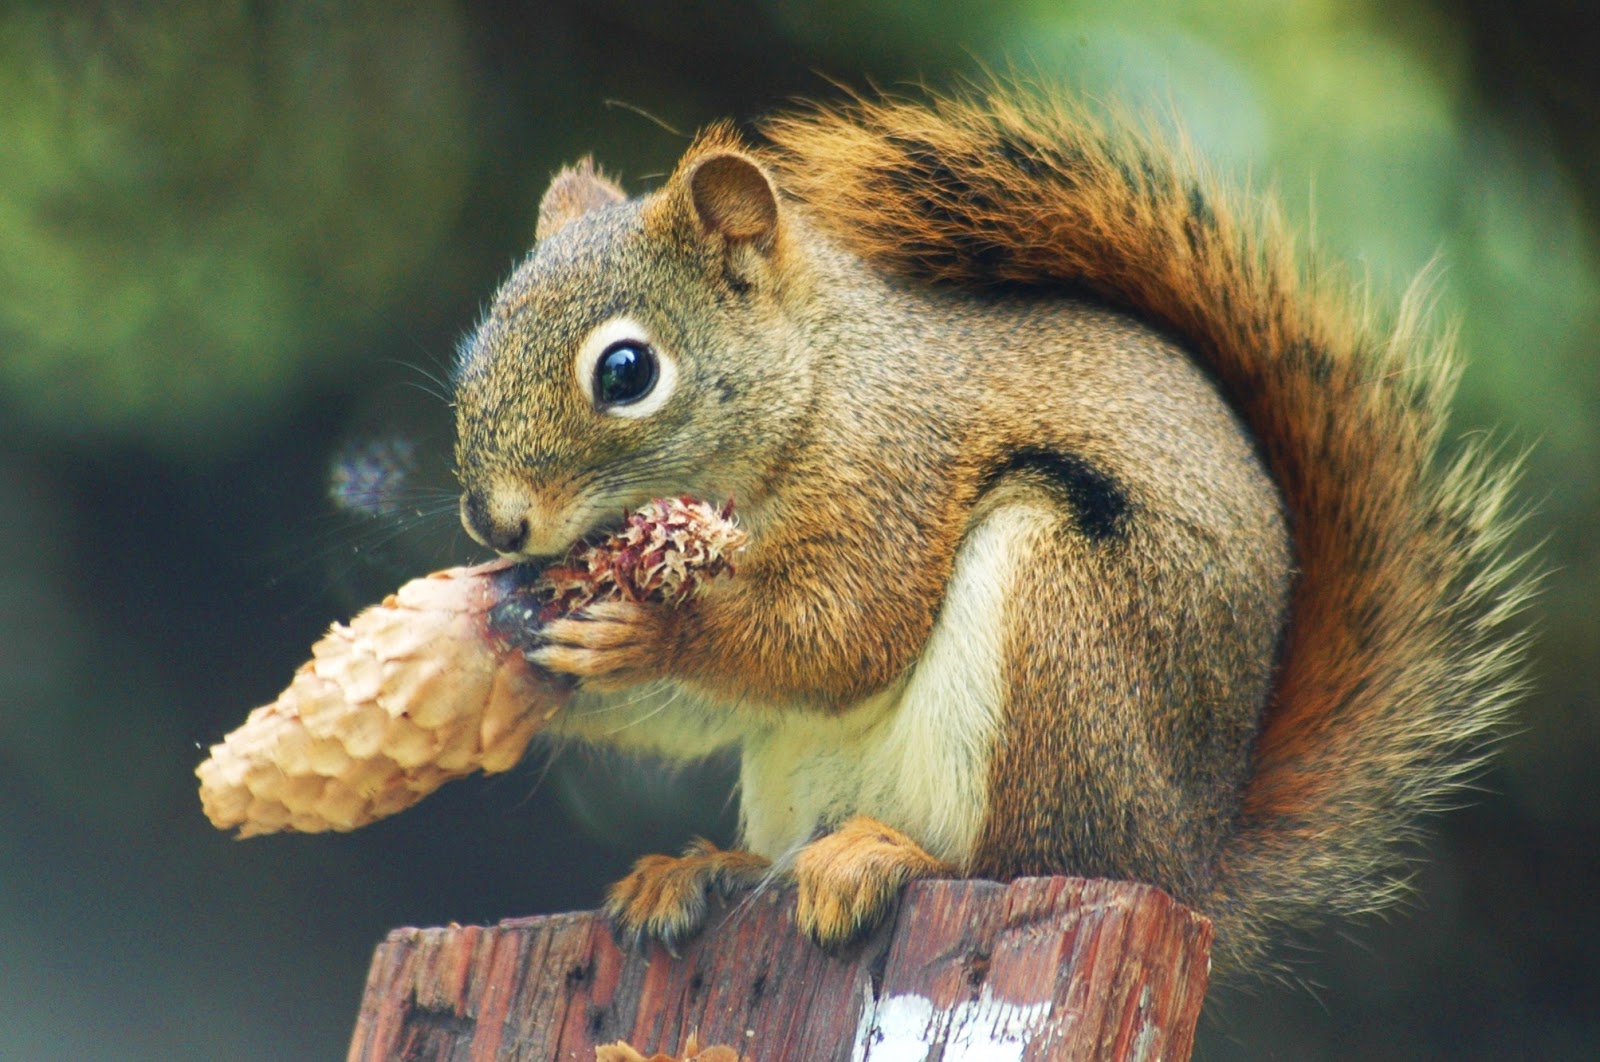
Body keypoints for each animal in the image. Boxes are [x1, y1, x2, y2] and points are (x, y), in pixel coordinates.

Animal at [450, 86, 1532, 972]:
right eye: (476, 342)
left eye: (626, 371)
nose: (496, 522)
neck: (818, 377)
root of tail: (1187, 858)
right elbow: (706, 706)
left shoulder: (892, 469)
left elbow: (842, 633)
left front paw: (652, 629)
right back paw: (706, 869)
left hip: (1058, 634)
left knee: (1011, 857)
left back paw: (887, 855)